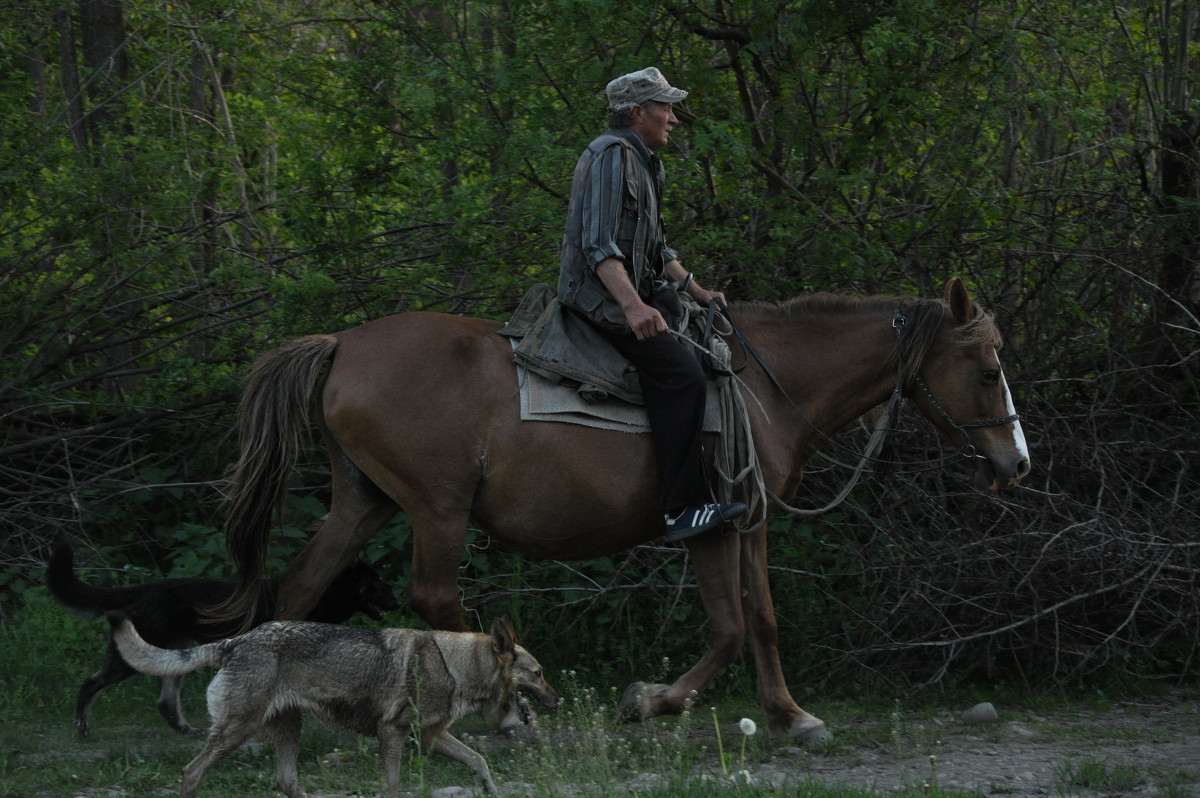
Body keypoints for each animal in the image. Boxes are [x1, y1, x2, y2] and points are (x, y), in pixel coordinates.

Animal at [46, 535, 398, 734]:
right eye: (378, 582)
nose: (397, 602)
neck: (325, 596)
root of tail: (148, 588)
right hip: (134, 658)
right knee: (90, 684)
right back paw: (82, 727)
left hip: (174, 656)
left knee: (166, 702)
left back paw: (188, 731)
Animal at [108, 612, 556, 792]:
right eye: (538, 673)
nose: (556, 700)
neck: (455, 666)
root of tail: (235, 641)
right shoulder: (392, 734)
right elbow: (393, 786)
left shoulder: (430, 738)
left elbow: (479, 761)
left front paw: (489, 789)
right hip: (235, 733)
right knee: (191, 774)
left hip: (286, 731)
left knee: (286, 781)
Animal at [220, 278, 1027, 739]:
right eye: (988, 370)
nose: (1017, 463)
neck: (763, 386)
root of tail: (341, 345)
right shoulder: (709, 527)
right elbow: (729, 628)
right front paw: (653, 701)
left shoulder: (751, 520)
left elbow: (762, 619)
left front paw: (790, 715)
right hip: (436, 507)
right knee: (435, 599)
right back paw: (501, 713)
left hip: (366, 502)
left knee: (298, 589)